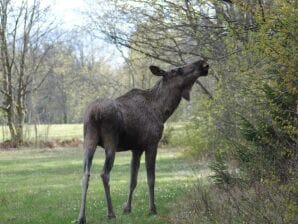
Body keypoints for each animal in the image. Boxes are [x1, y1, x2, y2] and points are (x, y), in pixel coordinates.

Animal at [75, 59, 208, 222]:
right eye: (177, 70)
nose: (202, 63)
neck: (162, 111)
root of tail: (95, 114)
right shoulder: (152, 144)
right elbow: (151, 179)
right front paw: (152, 209)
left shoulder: (136, 148)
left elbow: (133, 180)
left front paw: (127, 208)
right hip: (110, 142)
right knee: (104, 174)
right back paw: (110, 213)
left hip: (88, 140)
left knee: (85, 175)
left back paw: (81, 217)